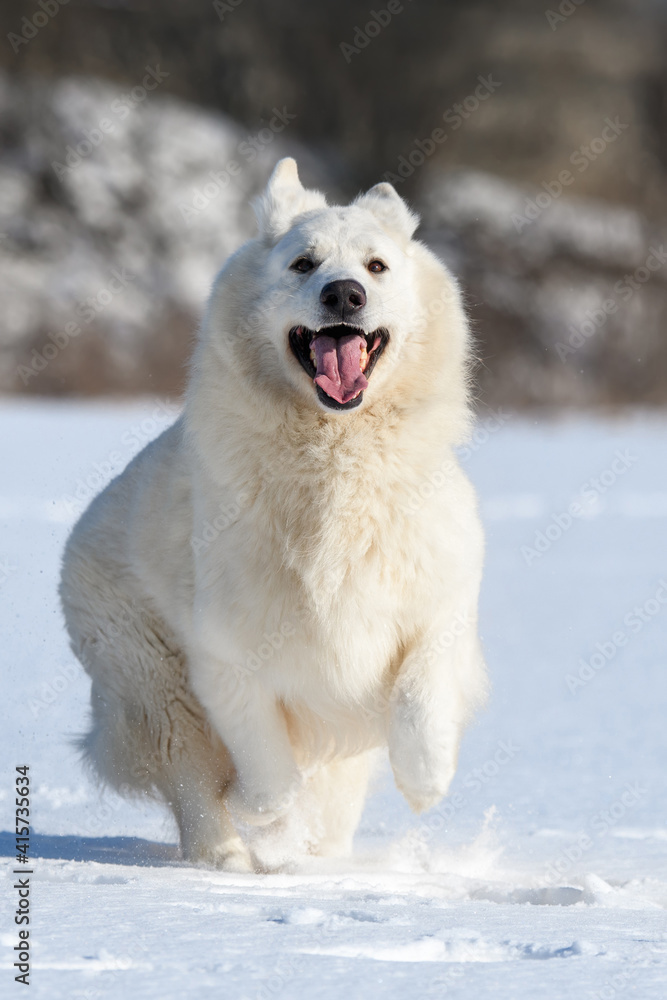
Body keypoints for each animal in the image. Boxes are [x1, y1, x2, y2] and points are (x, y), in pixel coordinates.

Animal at [60, 160, 488, 872]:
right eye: (303, 263)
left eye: (376, 266)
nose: (344, 295)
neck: (336, 454)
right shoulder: (226, 651)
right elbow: (264, 764)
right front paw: (264, 814)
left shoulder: (438, 599)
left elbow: (420, 691)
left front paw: (426, 780)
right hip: (155, 685)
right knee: (196, 784)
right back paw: (230, 858)